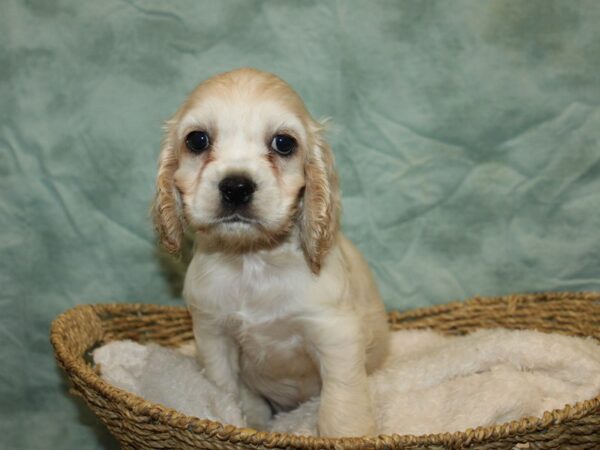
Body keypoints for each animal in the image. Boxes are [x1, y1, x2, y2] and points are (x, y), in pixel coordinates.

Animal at [152, 68, 392, 438]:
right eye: (197, 140)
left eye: (283, 143)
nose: (236, 187)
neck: (253, 261)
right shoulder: (213, 335)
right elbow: (225, 393)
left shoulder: (336, 336)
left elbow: (341, 409)